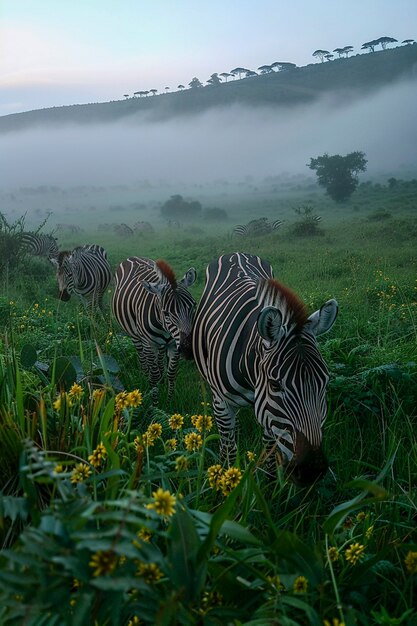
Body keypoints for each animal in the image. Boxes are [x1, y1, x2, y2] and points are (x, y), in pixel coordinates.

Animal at [111, 258, 196, 400]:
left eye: (194, 306)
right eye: (166, 313)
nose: (189, 350)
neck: (165, 330)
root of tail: (132, 258)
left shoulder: (174, 344)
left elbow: (171, 373)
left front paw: (170, 400)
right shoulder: (149, 345)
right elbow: (154, 375)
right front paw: (154, 399)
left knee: (159, 360)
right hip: (136, 337)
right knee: (143, 359)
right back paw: (146, 376)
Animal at [192, 251, 338, 486]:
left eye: (325, 383)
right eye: (275, 384)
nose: (312, 471)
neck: (251, 374)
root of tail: (236, 253)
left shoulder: (270, 414)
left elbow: (270, 456)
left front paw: (269, 486)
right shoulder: (221, 403)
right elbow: (229, 452)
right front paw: (225, 484)